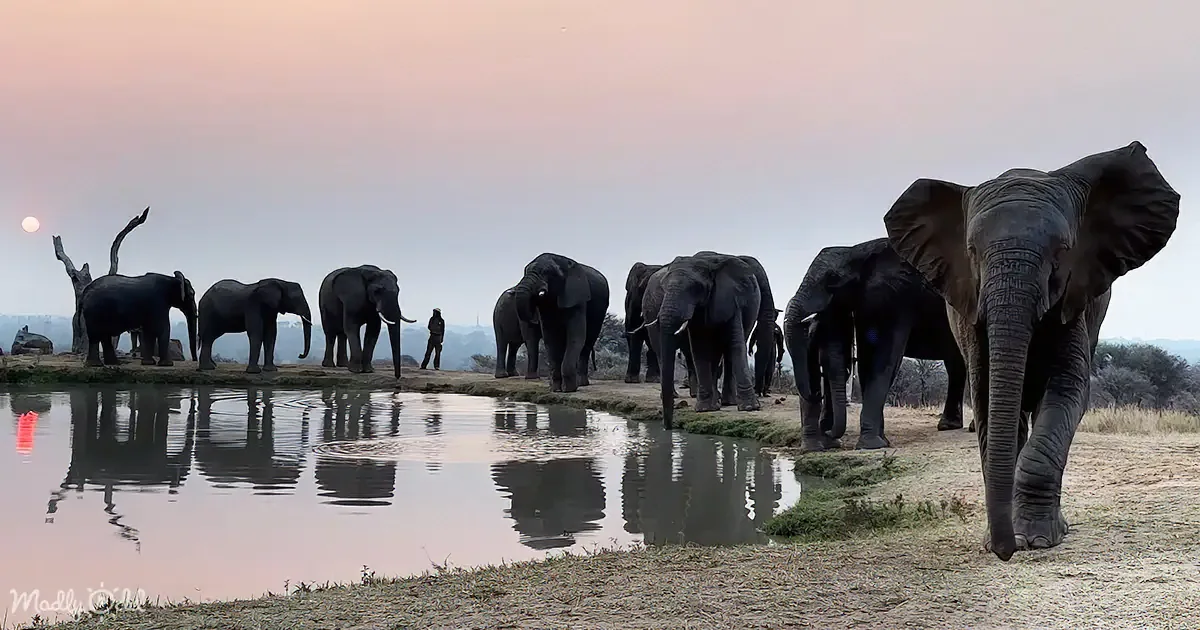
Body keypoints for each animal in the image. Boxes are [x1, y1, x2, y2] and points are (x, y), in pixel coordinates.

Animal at [511, 253, 610, 393]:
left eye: (546, 272)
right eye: (525, 271)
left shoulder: (577, 298)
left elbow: (576, 336)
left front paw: (569, 389)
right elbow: (550, 338)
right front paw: (556, 389)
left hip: (599, 312)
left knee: (587, 343)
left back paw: (581, 384)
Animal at [648, 251, 762, 429]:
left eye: (696, 288)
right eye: (663, 287)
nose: (667, 428)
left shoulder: (730, 299)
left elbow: (735, 344)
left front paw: (750, 408)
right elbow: (699, 348)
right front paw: (705, 410)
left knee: (729, 349)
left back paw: (728, 402)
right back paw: (718, 402)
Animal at [783, 237, 968, 452]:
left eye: (832, 279)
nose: (815, 395)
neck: (858, 251)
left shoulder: (897, 296)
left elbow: (883, 357)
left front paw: (870, 445)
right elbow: (866, 358)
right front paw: (881, 442)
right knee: (956, 365)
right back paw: (948, 426)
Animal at [882, 141, 1179, 561]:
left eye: (1062, 252)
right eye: (972, 252)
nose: (1005, 551)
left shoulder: (1074, 300)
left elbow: (1068, 389)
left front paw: (1037, 540)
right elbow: (987, 394)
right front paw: (1003, 539)